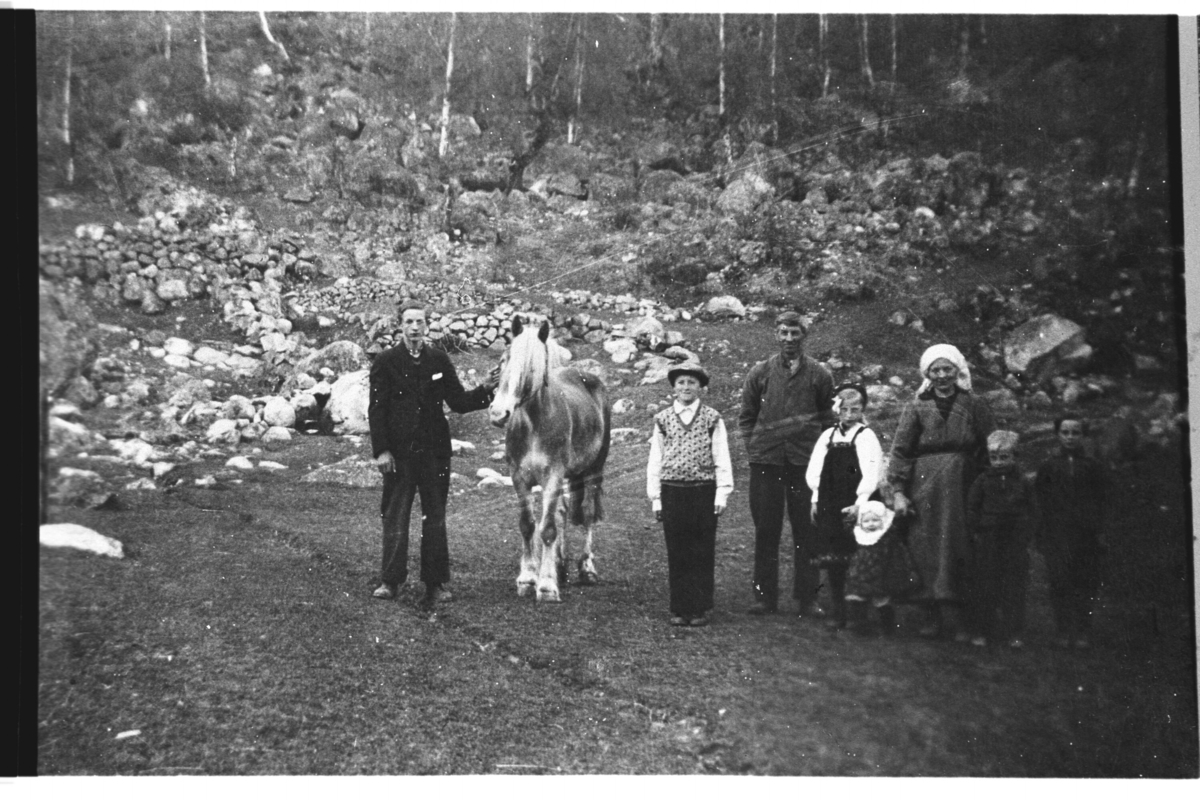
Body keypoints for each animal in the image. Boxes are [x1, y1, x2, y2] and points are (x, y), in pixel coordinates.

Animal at [487, 314, 609, 599]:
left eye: (530, 368)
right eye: (503, 360)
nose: (498, 413)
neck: (534, 425)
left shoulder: (552, 477)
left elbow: (548, 528)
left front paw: (546, 585)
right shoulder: (519, 478)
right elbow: (528, 525)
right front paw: (528, 578)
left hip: (593, 470)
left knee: (586, 513)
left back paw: (586, 569)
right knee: (563, 511)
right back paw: (560, 566)